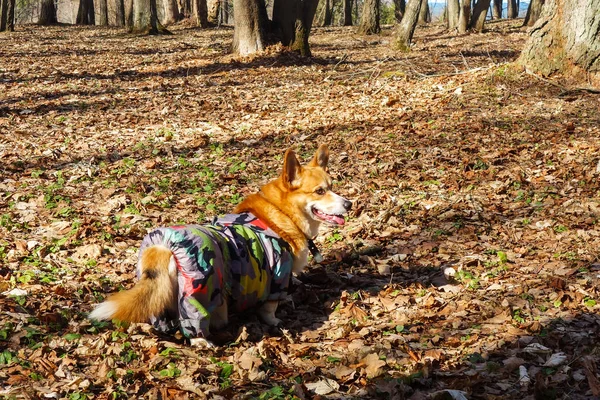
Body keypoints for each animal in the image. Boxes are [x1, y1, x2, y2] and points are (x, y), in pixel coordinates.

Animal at [89, 144, 352, 344]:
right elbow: (270, 308)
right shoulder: (277, 276)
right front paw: (276, 321)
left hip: (161, 292)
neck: (282, 214)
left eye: (332, 186)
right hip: (198, 291)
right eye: (320, 191)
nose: (349, 204)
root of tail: (163, 247)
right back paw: (202, 341)